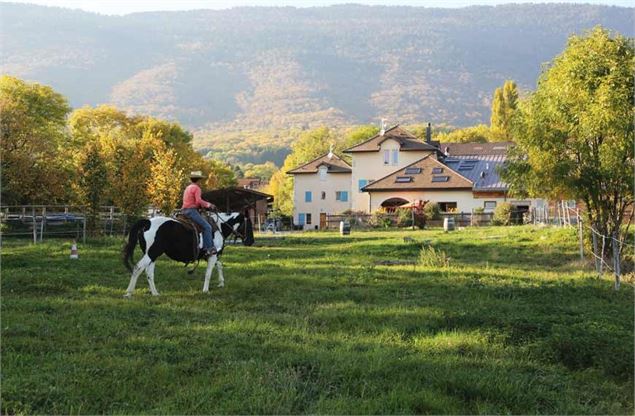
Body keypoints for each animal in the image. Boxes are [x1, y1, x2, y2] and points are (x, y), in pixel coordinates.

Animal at [121, 211, 253, 296]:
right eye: (249, 225)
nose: (251, 241)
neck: (219, 227)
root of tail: (147, 222)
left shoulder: (210, 255)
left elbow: (219, 266)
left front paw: (221, 283)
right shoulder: (213, 255)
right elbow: (208, 273)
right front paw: (206, 290)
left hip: (152, 255)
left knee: (149, 272)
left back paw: (155, 293)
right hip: (152, 253)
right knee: (138, 268)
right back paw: (128, 292)